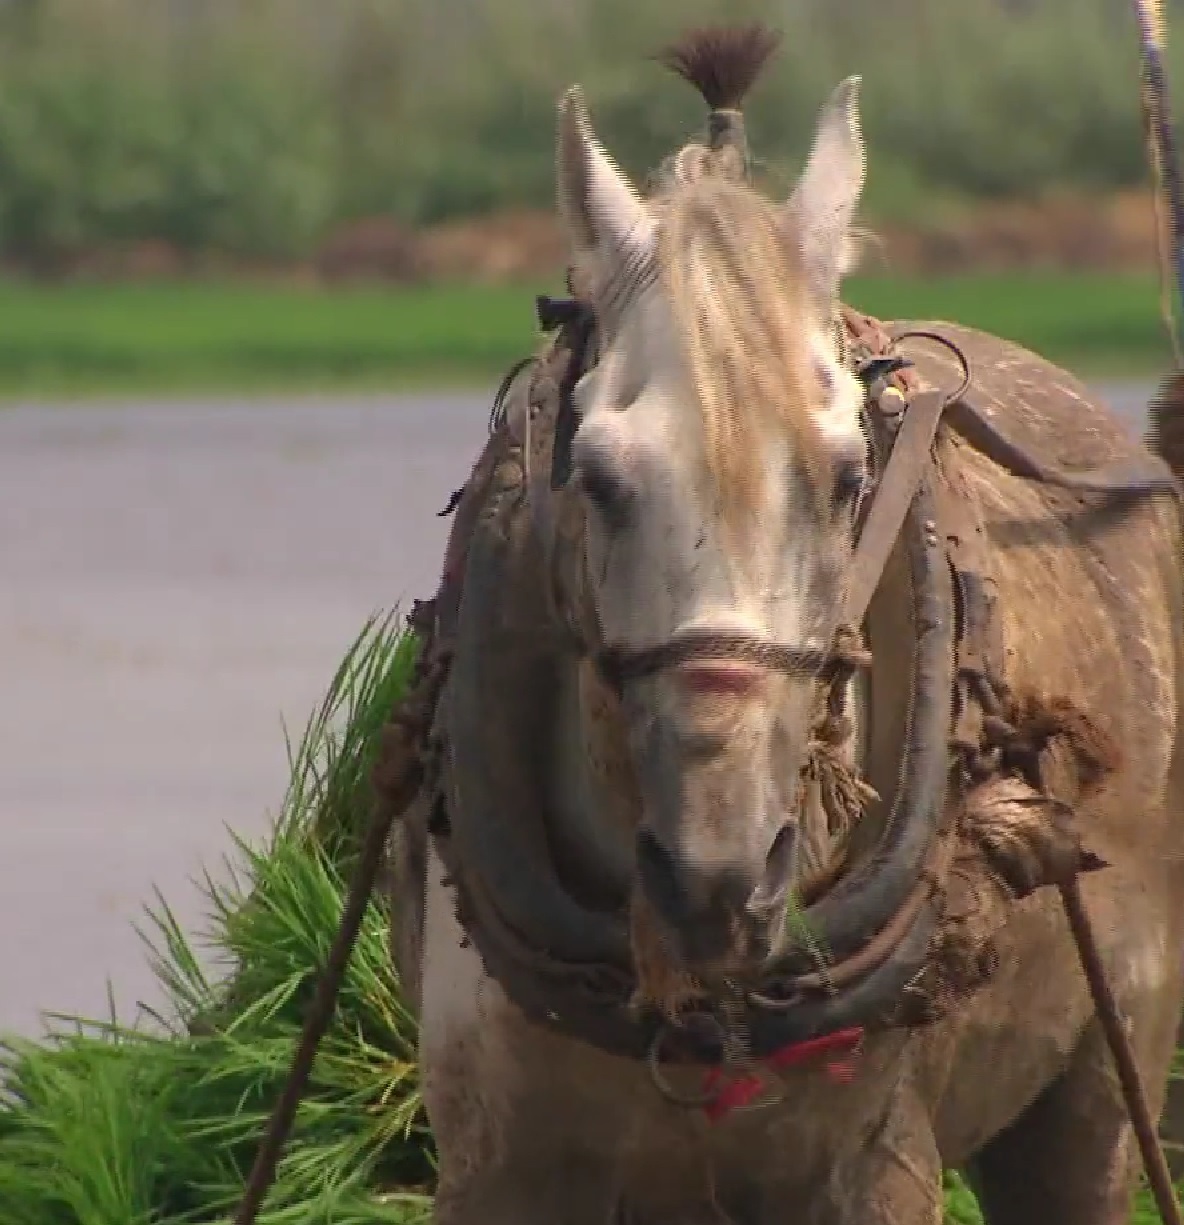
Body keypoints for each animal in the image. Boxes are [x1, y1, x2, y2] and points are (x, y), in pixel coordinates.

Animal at [377, 21, 1184, 1225]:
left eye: (849, 477)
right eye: (596, 476)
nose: (717, 877)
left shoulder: (876, 1170)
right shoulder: (496, 1168)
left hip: (1096, 1085)